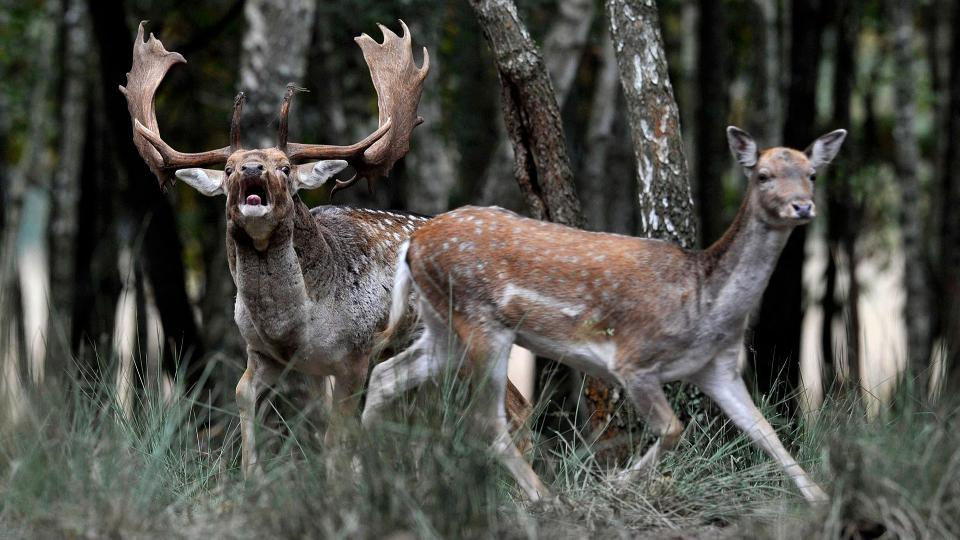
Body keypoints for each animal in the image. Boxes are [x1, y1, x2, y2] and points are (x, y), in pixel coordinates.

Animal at [120, 21, 528, 476]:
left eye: (284, 167)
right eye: (227, 169)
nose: (251, 168)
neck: (294, 326)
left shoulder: (356, 352)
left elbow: (338, 436)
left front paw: (338, 484)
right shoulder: (264, 354)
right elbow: (247, 400)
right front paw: (251, 476)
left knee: (515, 405)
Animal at [362, 125, 848, 502]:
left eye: (812, 174)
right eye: (763, 175)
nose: (802, 206)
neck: (703, 305)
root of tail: (414, 243)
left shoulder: (719, 367)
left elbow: (766, 432)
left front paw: (822, 499)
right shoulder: (634, 360)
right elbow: (674, 429)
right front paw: (617, 484)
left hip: (441, 324)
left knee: (386, 374)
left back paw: (360, 471)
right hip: (481, 321)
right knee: (488, 420)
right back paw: (546, 497)